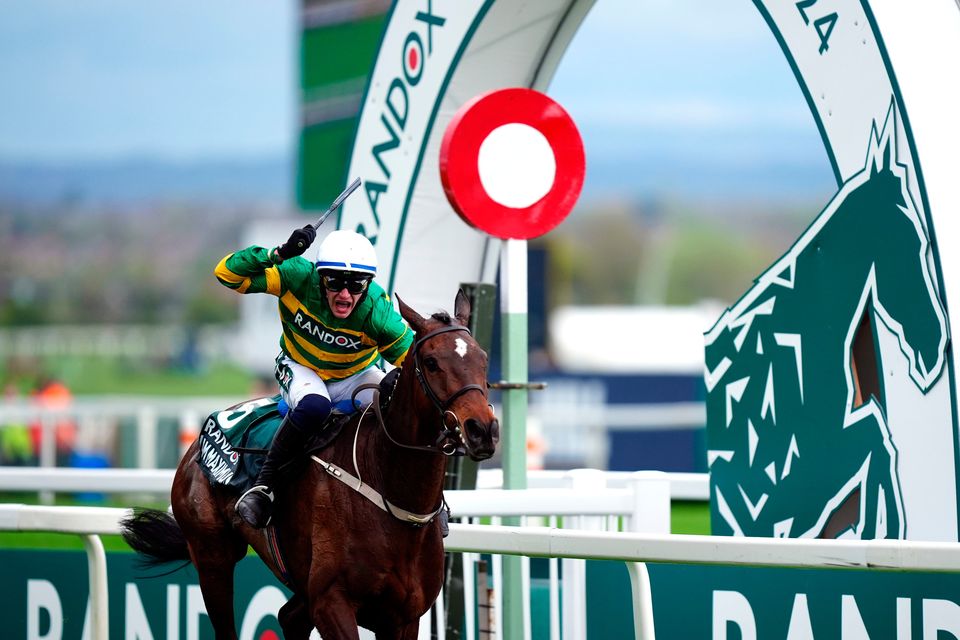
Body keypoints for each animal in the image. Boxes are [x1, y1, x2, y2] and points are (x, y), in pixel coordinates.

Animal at [121, 292, 498, 640]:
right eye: (432, 362)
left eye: (483, 358)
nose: (482, 430)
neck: (392, 497)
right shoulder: (332, 602)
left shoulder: (404, 617)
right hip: (212, 554)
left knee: (288, 617)